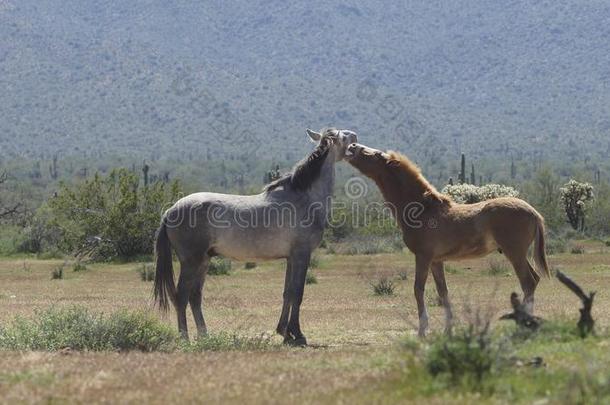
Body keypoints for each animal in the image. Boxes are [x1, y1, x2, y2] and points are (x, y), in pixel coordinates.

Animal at [153, 128, 356, 342]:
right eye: (342, 136)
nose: (354, 137)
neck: (303, 197)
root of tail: (170, 211)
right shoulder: (302, 255)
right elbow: (298, 293)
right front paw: (297, 334)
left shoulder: (291, 258)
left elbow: (288, 292)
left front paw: (284, 332)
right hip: (191, 262)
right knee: (181, 297)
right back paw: (185, 337)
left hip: (203, 261)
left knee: (194, 296)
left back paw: (204, 335)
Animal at [344, 144, 548, 336]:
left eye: (378, 154)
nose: (352, 146)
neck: (423, 210)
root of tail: (534, 213)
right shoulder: (436, 261)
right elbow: (443, 292)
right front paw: (448, 329)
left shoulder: (423, 256)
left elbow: (418, 289)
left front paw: (422, 330)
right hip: (519, 254)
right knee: (534, 280)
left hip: (514, 253)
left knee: (528, 282)